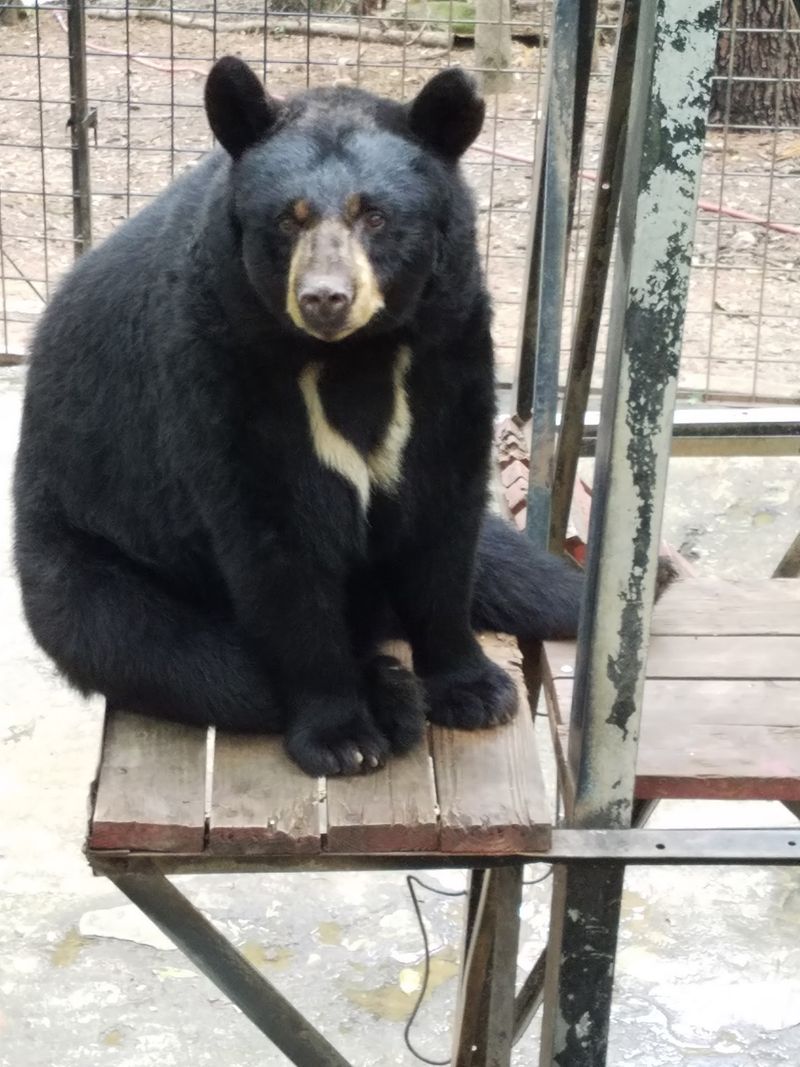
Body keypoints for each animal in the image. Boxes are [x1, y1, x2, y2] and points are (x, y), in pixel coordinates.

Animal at [13, 57, 583, 777]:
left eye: (375, 216)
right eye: (290, 219)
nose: (325, 298)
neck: (352, 355)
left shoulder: (447, 351)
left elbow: (444, 519)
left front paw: (477, 689)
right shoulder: (224, 367)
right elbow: (278, 545)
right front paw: (343, 736)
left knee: (516, 569)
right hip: (84, 555)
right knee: (166, 652)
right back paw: (389, 695)